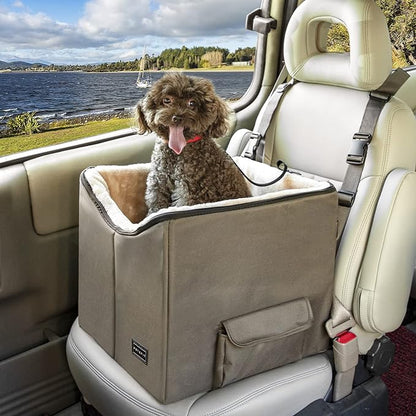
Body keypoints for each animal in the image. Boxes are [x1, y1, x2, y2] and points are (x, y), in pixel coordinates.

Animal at [136, 72, 250, 214]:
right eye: (167, 100)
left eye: (192, 103)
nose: (177, 118)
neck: (177, 152)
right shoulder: (158, 181)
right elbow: (156, 203)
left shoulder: (189, 188)